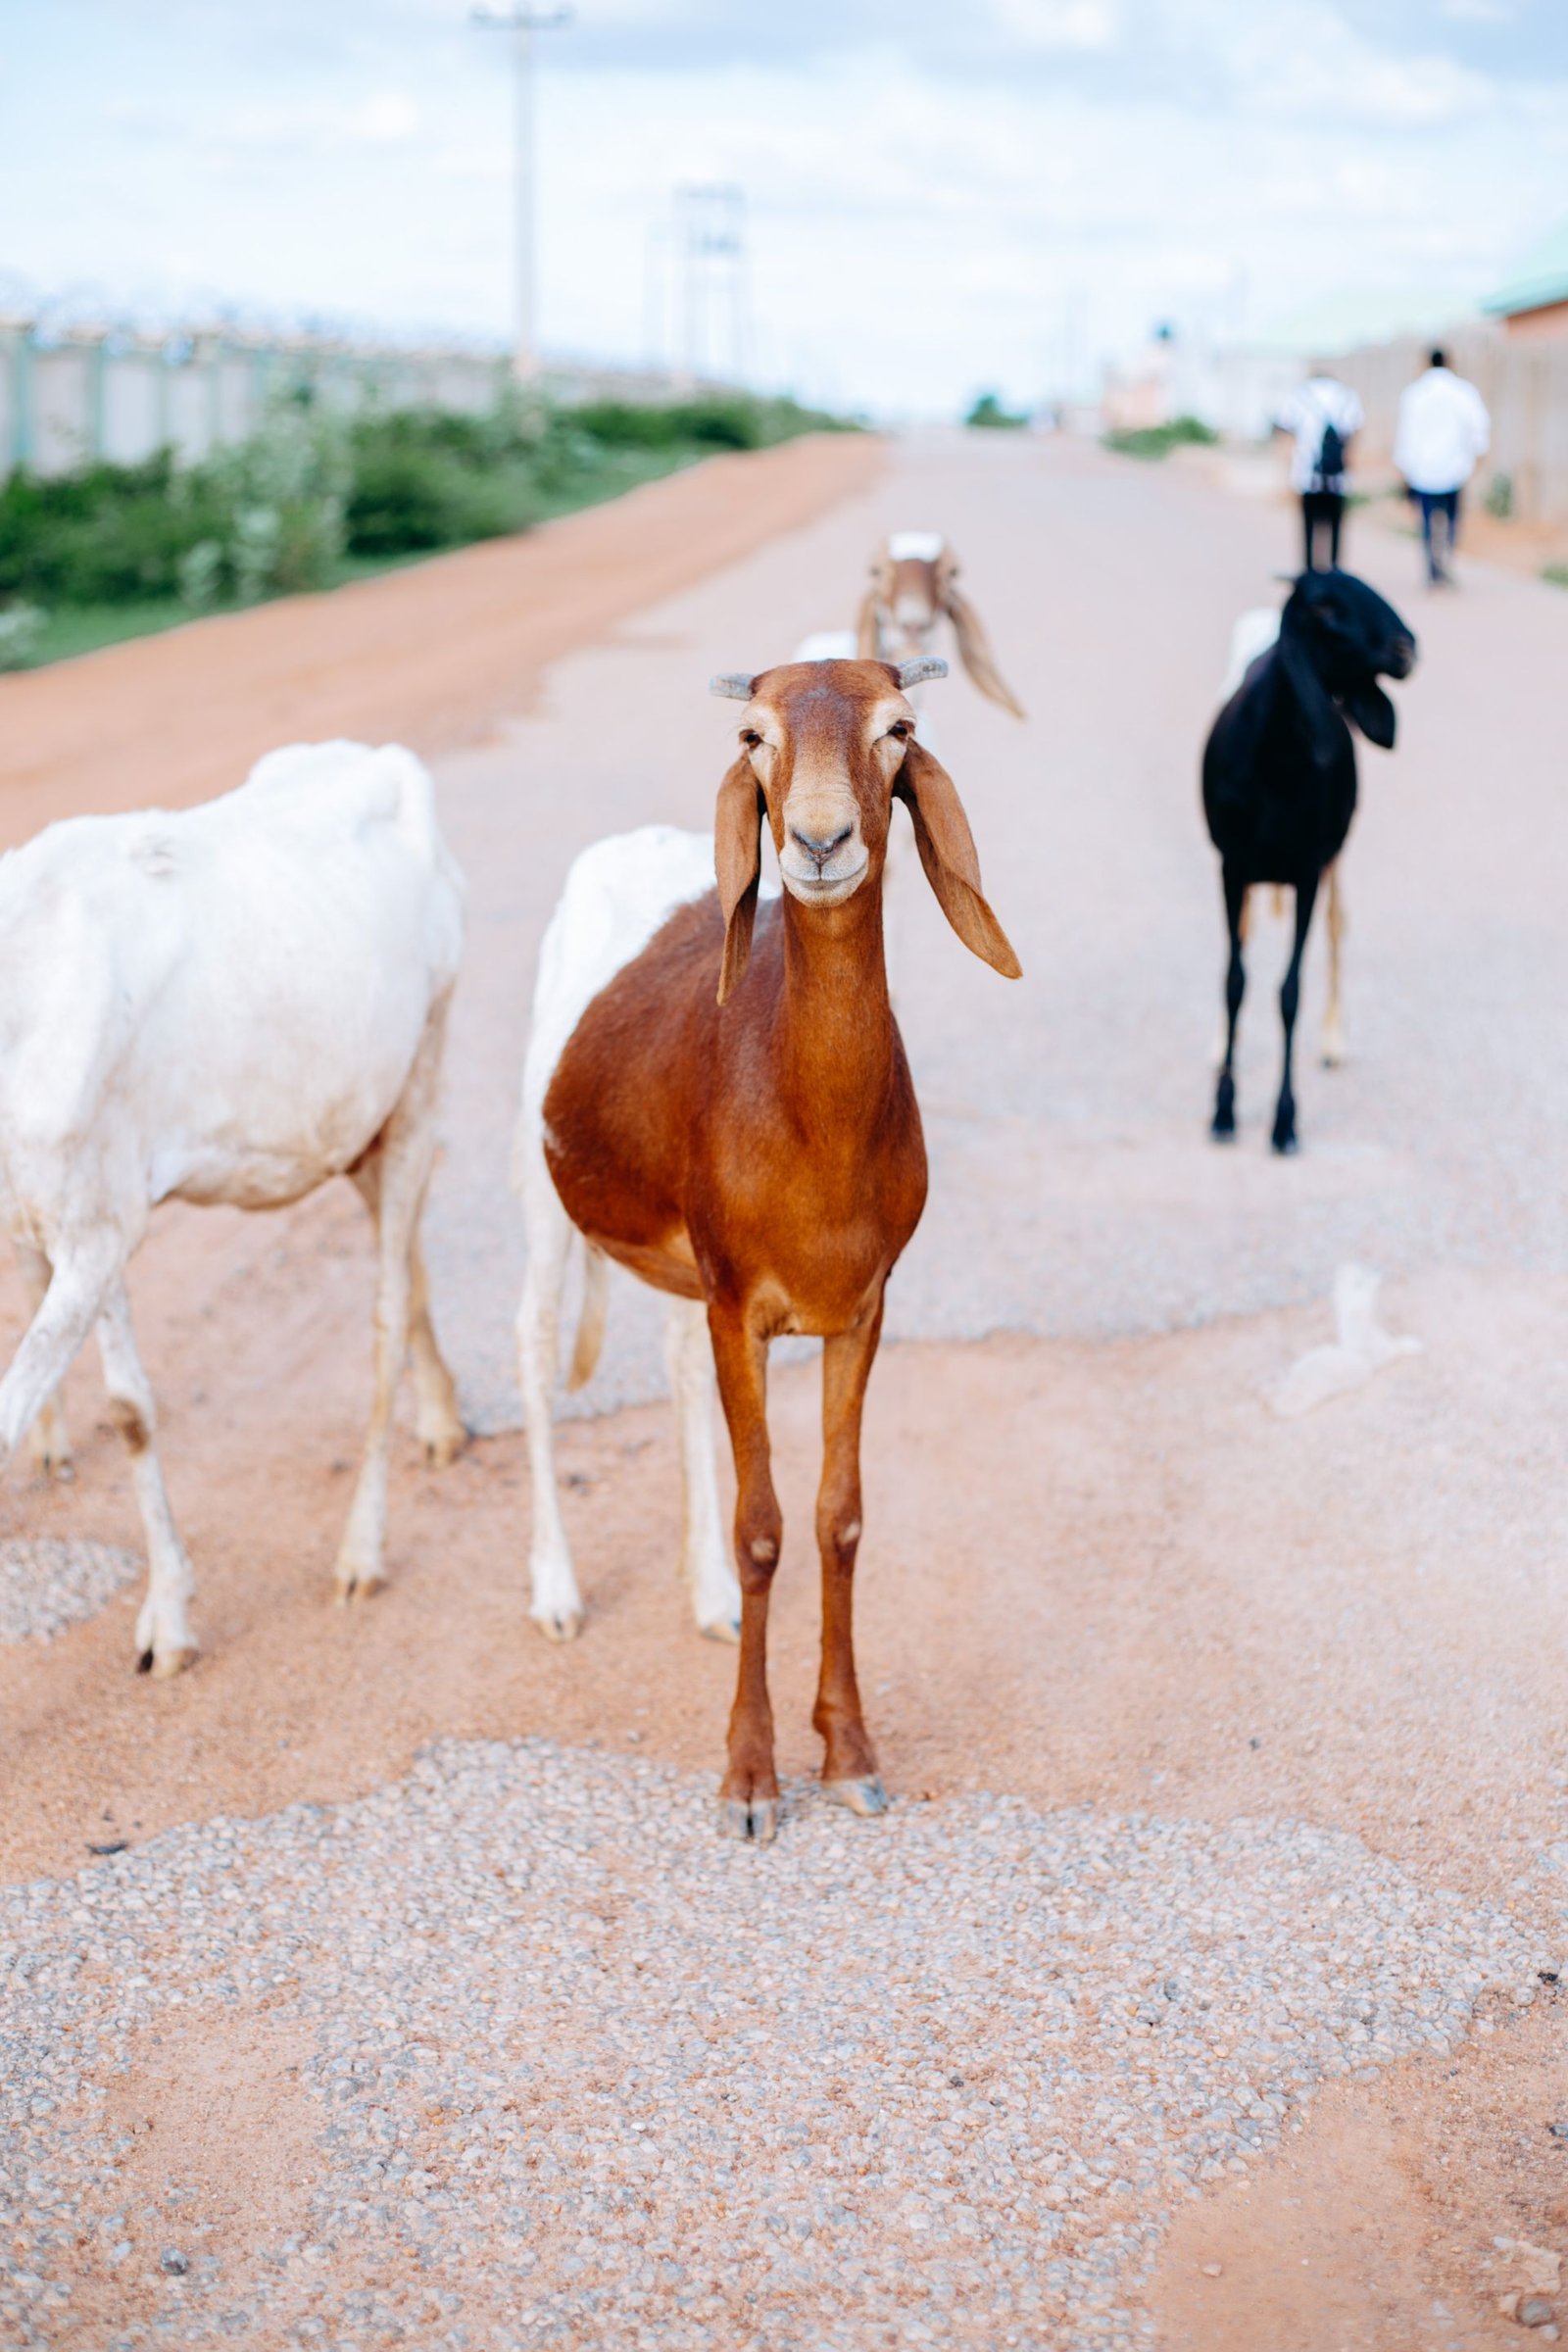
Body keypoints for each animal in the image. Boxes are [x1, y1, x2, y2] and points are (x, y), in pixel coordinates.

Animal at [0, 741, 466, 1673]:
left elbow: (110, 1414)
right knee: (409, 1259)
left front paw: (167, 1625)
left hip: (422, 1073)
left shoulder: (96, 1226)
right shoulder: (71, 1220)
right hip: (354, 1129)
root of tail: (383, 759)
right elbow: (123, 1407)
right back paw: (441, 1419)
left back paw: (361, 1552)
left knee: (387, 1310)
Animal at [516, 657, 1020, 1841]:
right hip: (542, 1188)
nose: (821, 839)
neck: (807, 1129)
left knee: (671, 1370)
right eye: (754, 733)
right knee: (533, 1349)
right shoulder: (741, 1304)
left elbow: (838, 1519)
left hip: (680, 1267)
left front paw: (849, 1753)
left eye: (898, 728)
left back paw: (701, 1596)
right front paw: (749, 1778)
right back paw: (556, 1591)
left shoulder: (862, 1309)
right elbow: (763, 1529)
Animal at [1203, 570, 1415, 1153]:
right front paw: (1223, 1111)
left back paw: (1333, 1039)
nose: (1407, 649)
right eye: (1325, 608)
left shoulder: (1306, 871)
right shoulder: (1231, 867)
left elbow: (1289, 993)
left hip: (1332, 862)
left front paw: (1284, 1121)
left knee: (1338, 929)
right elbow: (1235, 980)